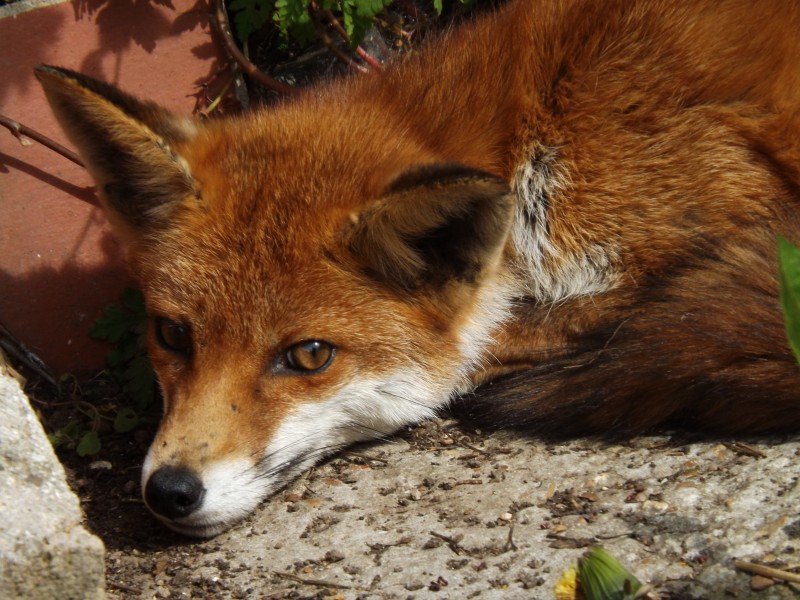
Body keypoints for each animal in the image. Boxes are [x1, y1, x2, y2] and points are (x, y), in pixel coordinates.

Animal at [36, 0, 800, 536]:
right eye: (172, 336)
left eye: (309, 356)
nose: (170, 491)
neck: (535, 128)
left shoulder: (733, 216)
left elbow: (493, 343)